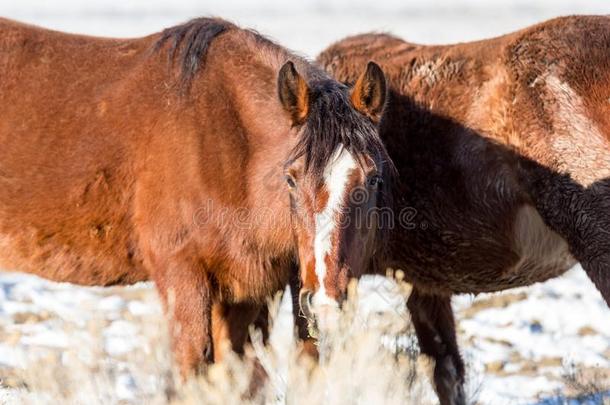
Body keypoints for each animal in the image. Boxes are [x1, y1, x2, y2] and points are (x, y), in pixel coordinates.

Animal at [0, 15, 390, 376]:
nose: (325, 302)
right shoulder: (182, 278)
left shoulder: (248, 293)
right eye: (291, 179)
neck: (224, 146)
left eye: (372, 178)